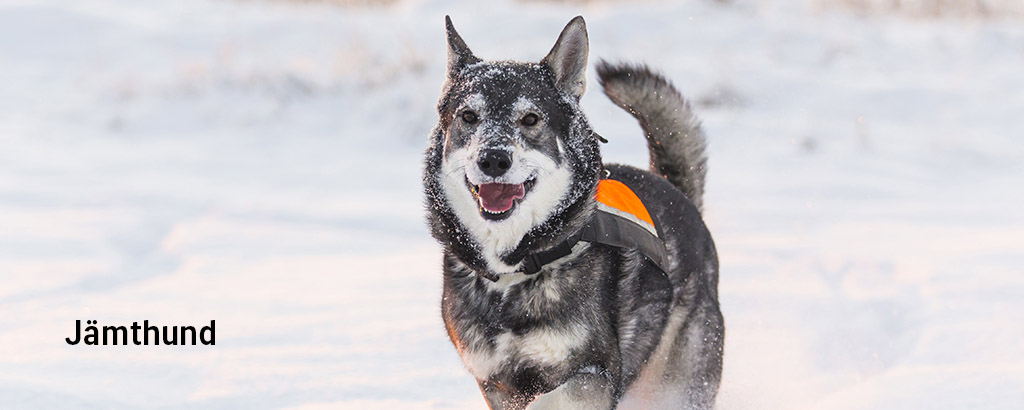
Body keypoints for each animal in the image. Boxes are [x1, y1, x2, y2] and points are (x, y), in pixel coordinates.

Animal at [419, 16, 724, 410]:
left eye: (530, 118)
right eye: (468, 116)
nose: (494, 159)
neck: (514, 271)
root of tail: (677, 193)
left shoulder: (595, 373)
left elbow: (548, 399)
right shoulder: (495, 382)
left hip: (681, 382)